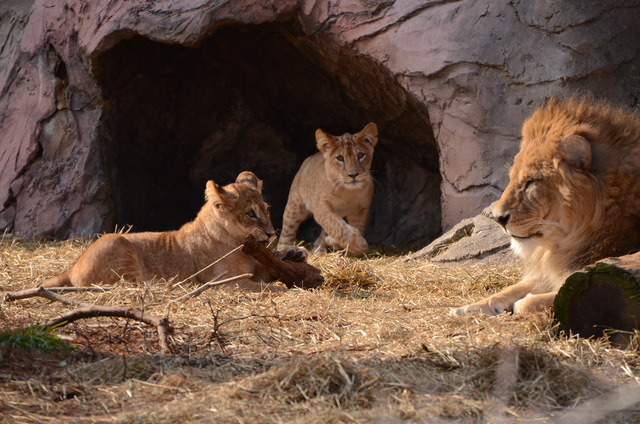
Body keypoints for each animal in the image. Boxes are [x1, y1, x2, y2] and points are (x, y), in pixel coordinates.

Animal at [37, 171, 282, 292]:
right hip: (116, 243)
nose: (272, 234)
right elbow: (268, 289)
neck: (240, 244)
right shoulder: (225, 281)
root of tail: (71, 268)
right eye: (250, 214)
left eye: (267, 210)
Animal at [450, 97, 640, 314]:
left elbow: (528, 302)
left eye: (531, 182)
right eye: (512, 177)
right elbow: (511, 288)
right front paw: (465, 308)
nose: (498, 218)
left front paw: (522, 302)